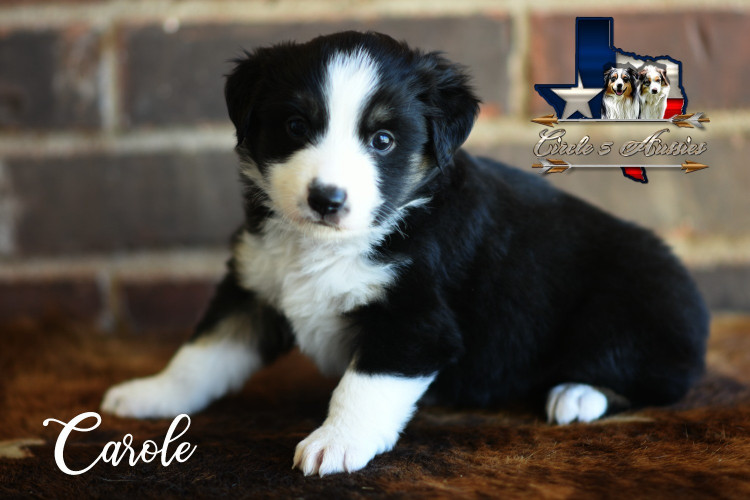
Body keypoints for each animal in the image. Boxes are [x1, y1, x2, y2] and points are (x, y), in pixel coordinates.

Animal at [102, 31, 709, 476]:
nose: (326, 199)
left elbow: (362, 388)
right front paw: (152, 394)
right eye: (296, 126)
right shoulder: (253, 288)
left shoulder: (416, 322)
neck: (331, 245)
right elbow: (201, 355)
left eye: (383, 140)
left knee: (655, 378)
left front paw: (334, 443)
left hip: (629, 306)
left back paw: (577, 393)